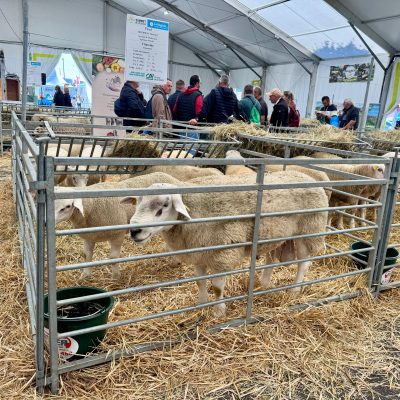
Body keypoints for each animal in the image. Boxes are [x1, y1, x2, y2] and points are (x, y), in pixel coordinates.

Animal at [54, 172, 182, 280]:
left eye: (67, 206)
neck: (91, 207)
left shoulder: (117, 235)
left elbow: (113, 257)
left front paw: (115, 276)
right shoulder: (89, 237)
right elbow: (87, 256)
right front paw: (85, 275)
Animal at [124, 172, 328, 316]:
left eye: (164, 205)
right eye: (137, 202)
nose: (135, 231)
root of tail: (307, 176)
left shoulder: (222, 255)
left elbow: (217, 287)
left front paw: (218, 311)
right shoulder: (199, 253)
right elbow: (200, 282)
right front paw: (201, 304)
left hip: (309, 232)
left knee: (303, 263)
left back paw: (294, 290)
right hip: (275, 234)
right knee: (272, 259)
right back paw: (263, 284)